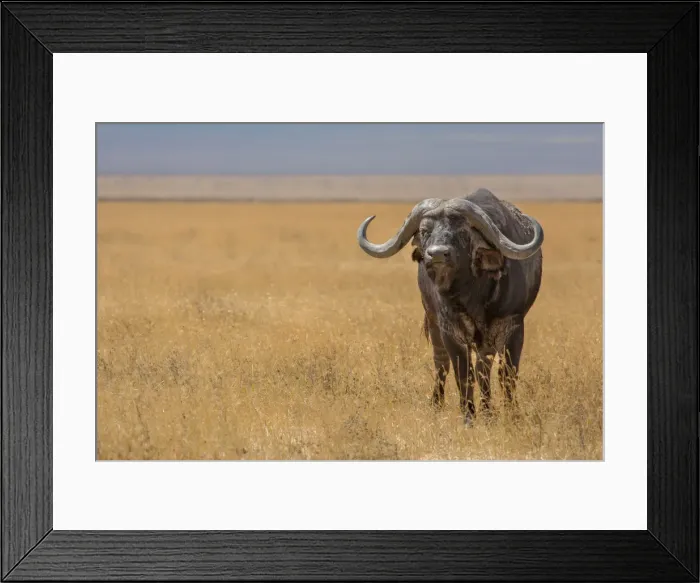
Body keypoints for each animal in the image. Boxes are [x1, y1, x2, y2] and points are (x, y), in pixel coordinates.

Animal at [357, 188, 544, 426]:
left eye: (462, 231)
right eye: (425, 231)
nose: (437, 254)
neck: (473, 295)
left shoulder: (514, 326)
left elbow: (507, 374)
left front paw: (511, 414)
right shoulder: (450, 330)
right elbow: (463, 374)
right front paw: (469, 417)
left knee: (484, 368)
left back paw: (488, 410)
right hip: (433, 322)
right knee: (442, 364)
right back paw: (437, 403)